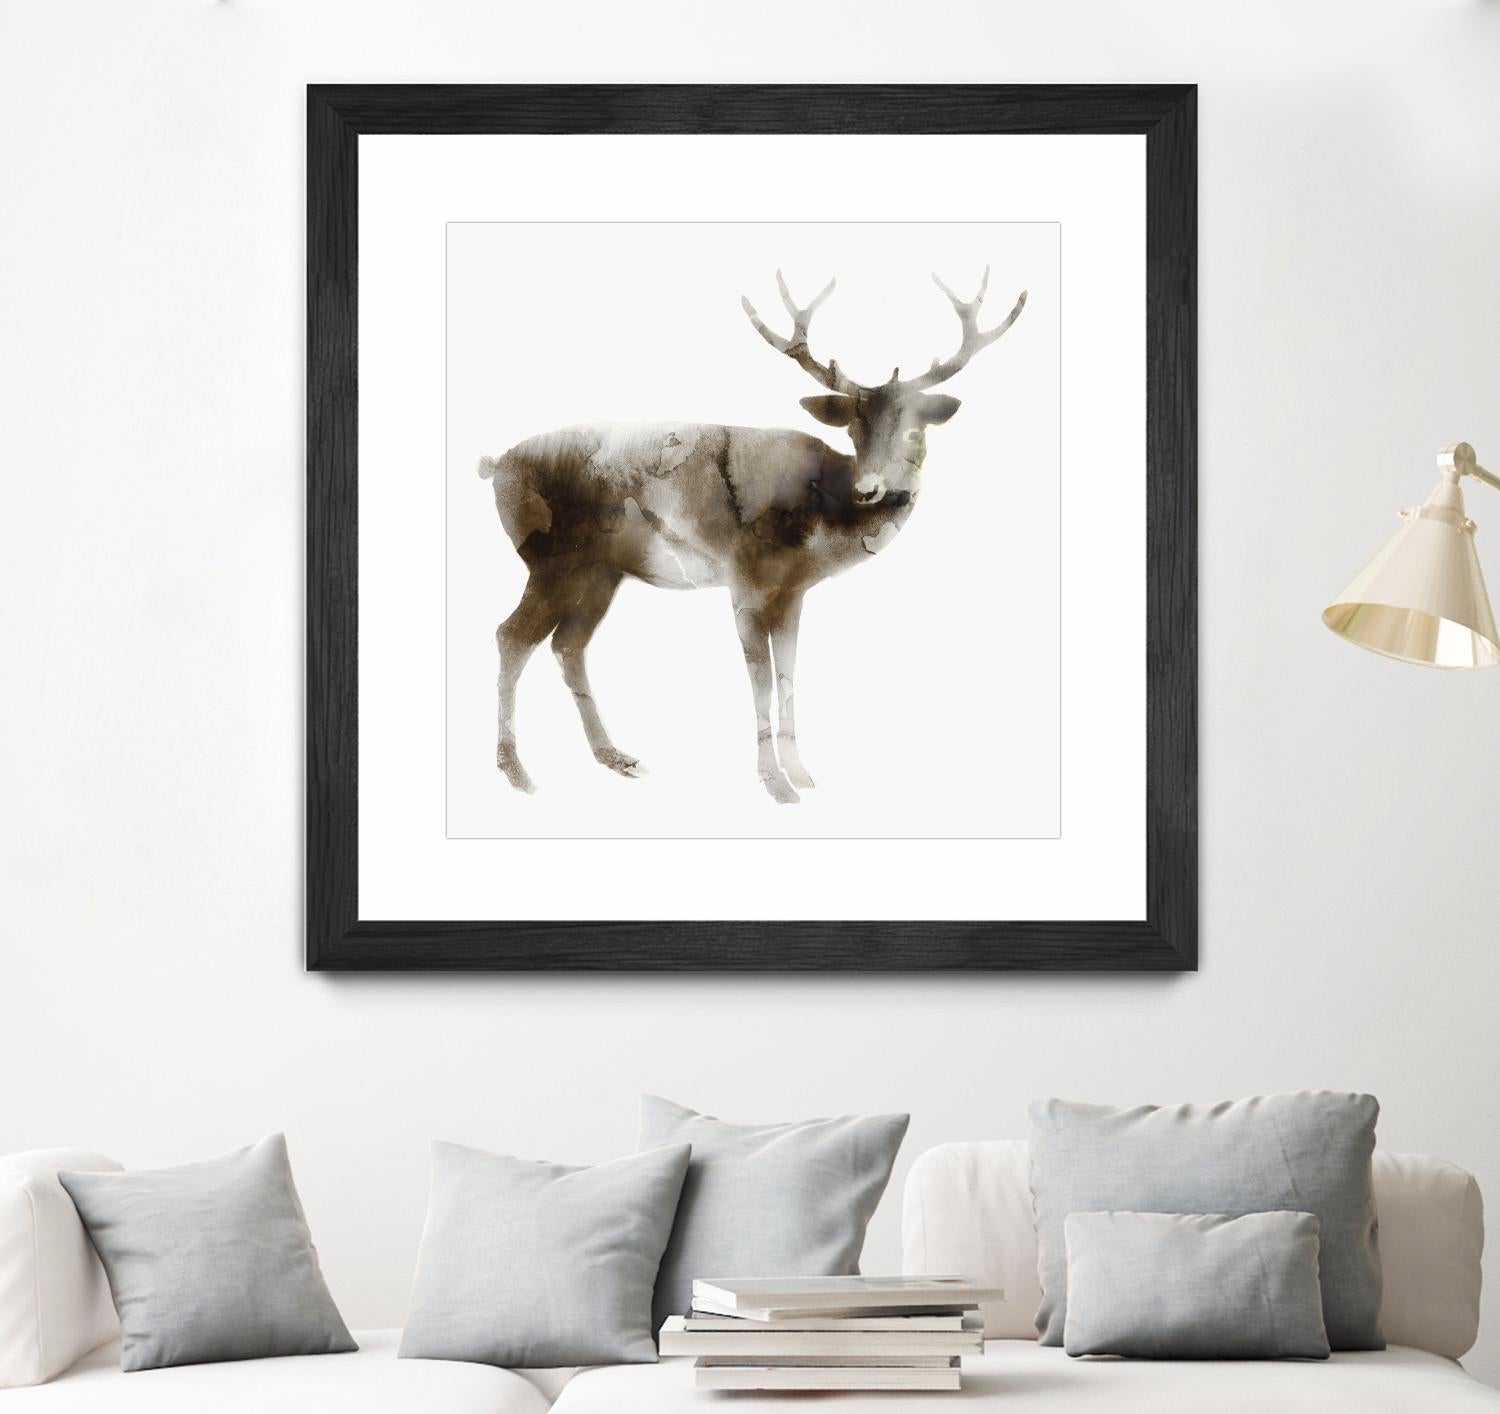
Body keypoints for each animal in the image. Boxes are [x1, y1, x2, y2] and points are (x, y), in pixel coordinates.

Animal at [479, 269, 1025, 803]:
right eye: (853, 429)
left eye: (915, 430)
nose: (869, 489)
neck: (820, 528)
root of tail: (496, 465)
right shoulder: (744, 582)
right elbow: (760, 681)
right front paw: (775, 783)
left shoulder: (793, 594)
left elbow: (788, 676)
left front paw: (801, 773)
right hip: (550, 561)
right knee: (512, 636)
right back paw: (516, 772)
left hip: (600, 573)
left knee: (568, 645)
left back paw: (615, 757)